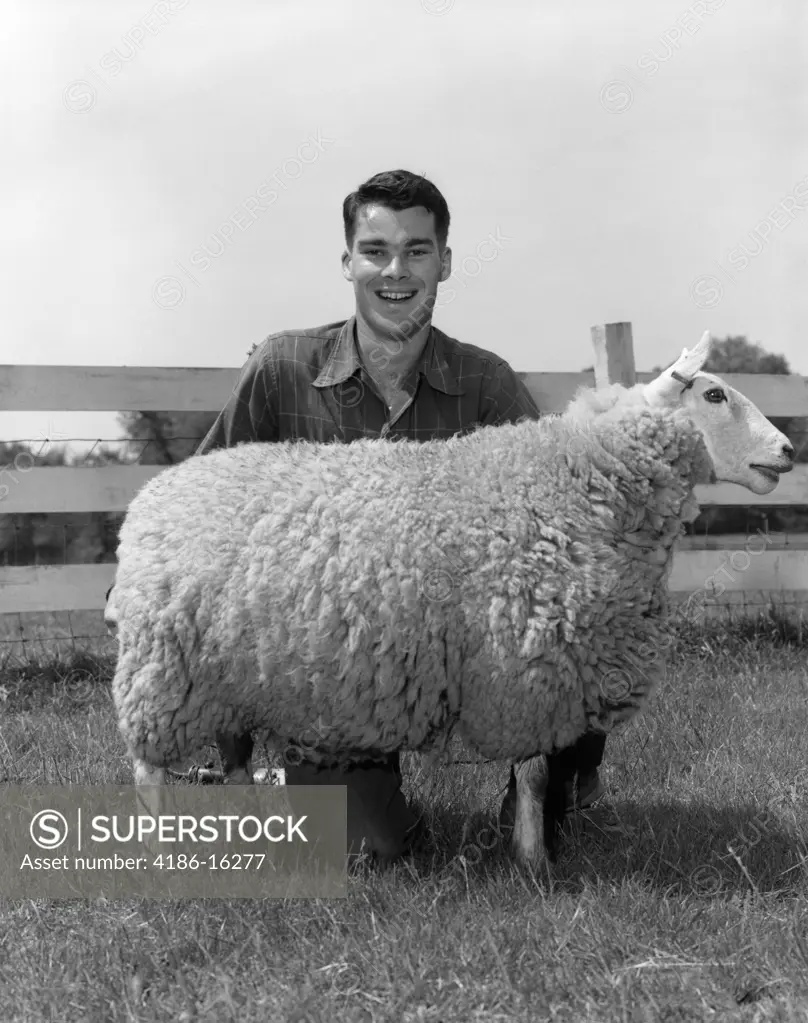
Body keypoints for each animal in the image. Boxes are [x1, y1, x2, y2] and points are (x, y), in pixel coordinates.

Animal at [107, 331, 797, 867]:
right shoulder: (525, 671)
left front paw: (529, 852)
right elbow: (535, 772)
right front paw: (533, 863)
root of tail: (150, 501)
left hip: (231, 677)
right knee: (150, 770)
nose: (789, 451)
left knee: (236, 759)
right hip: (163, 674)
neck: (577, 486)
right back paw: (162, 854)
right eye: (714, 395)